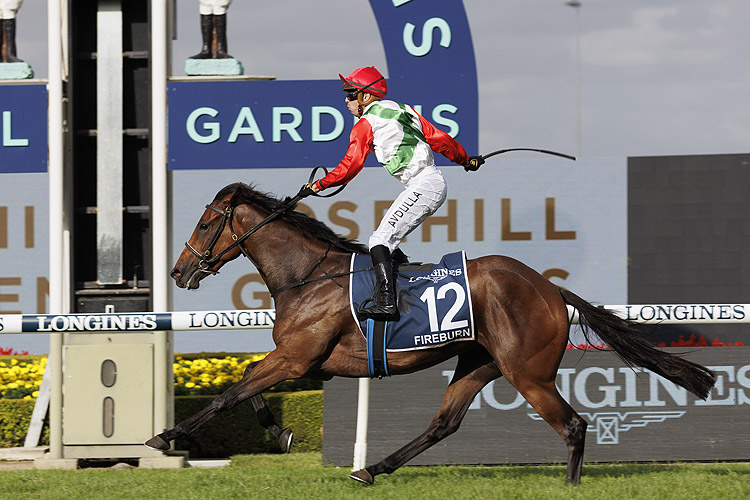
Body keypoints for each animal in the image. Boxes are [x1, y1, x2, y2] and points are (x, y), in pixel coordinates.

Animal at [145, 183, 716, 484]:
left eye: (204, 223)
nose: (178, 271)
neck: (307, 275)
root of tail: (551, 290)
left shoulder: (298, 357)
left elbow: (230, 394)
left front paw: (165, 436)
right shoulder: (303, 360)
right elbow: (247, 384)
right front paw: (280, 432)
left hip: (527, 371)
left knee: (573, 425)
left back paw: (571, 486)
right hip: (478, 363)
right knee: (444, 424)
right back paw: (371, 468)